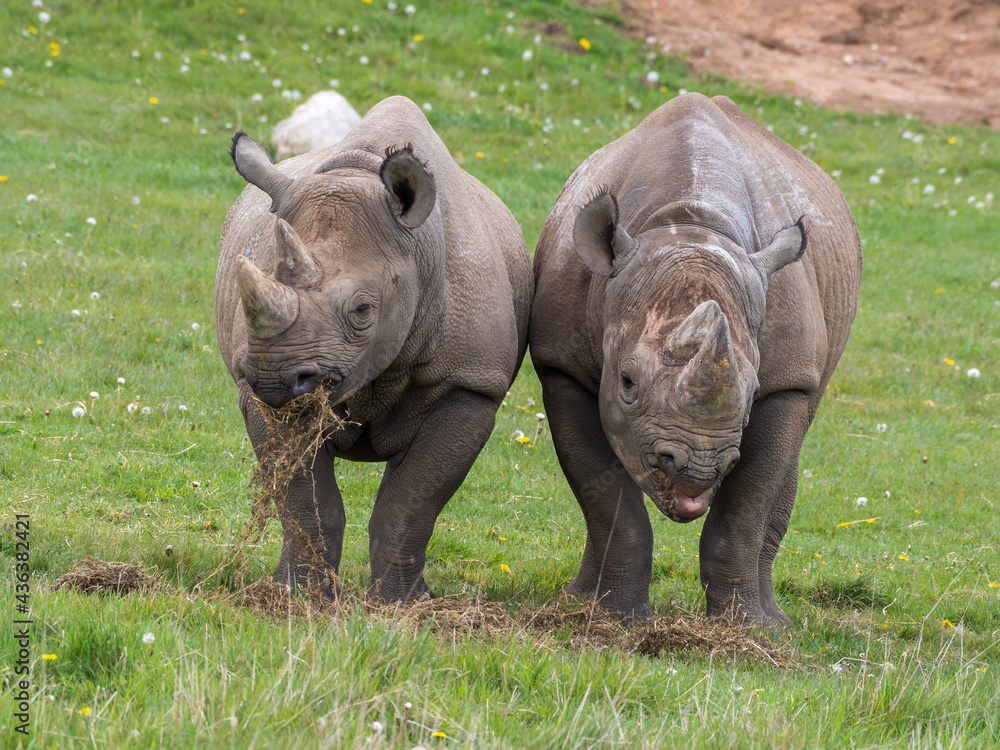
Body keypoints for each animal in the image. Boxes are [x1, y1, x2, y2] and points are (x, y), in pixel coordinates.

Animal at [215, 96, 533, 601]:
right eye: (264, 275)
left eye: (363, 310)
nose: (273, 378)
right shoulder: (264, 395)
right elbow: (307, 501)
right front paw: (299, 596)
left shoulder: (468, 384)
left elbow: (410, 505)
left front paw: (403, 604)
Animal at [530, 93, 862, 625]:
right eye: (626, 382)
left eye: (752, 392)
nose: (698, 470)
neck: (688, 225)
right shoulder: (560, 366)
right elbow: (604, 495)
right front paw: (617, 619)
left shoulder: (788, 381)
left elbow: (746, 505)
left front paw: (747, 628)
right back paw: (578, 600)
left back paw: (775, 621)